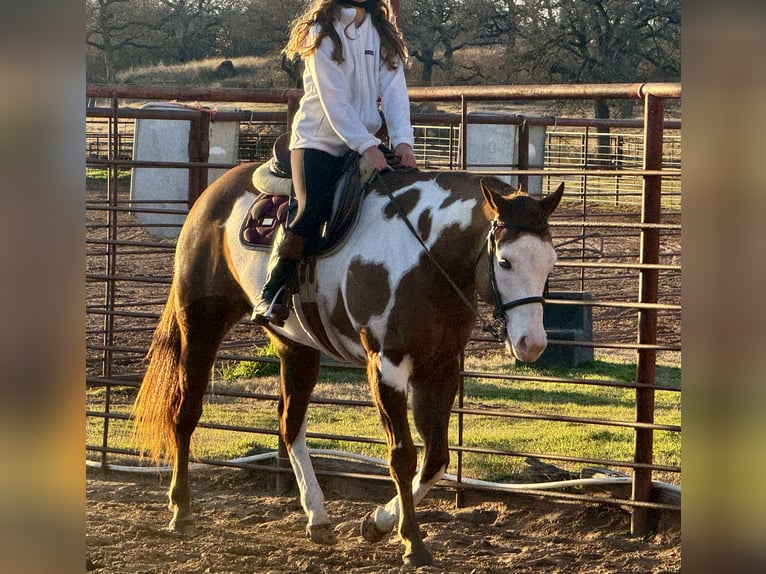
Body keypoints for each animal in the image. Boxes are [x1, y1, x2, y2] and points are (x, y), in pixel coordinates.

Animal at [130, 159, 564, 572]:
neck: (424, 256)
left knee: (289, 424)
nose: (531, 344)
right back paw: (181, 511)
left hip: (296, 345)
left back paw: (317, 517)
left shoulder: (439, 368)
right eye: (505, 262)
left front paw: (377, 523)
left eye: (551, 263)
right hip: (201, 321)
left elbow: (436, 459)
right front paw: (412, 543)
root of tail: (214, 192)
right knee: (185, 412)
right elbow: (402, 457)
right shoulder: (386, 366)